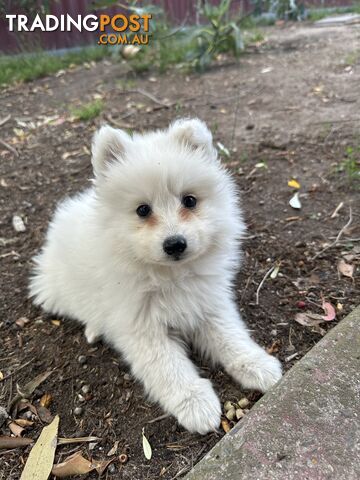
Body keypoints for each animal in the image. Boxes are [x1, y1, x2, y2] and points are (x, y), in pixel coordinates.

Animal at [29, 118, 282, 434]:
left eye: (190, 201)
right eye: (142, 210)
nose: (175, 244)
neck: (170, 276)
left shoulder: (208, 303)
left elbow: (231, 337)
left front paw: (257, 365)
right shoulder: (143, 328)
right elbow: (168, 368)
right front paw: (196, 404)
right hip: (62, 289)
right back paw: (94, 328)